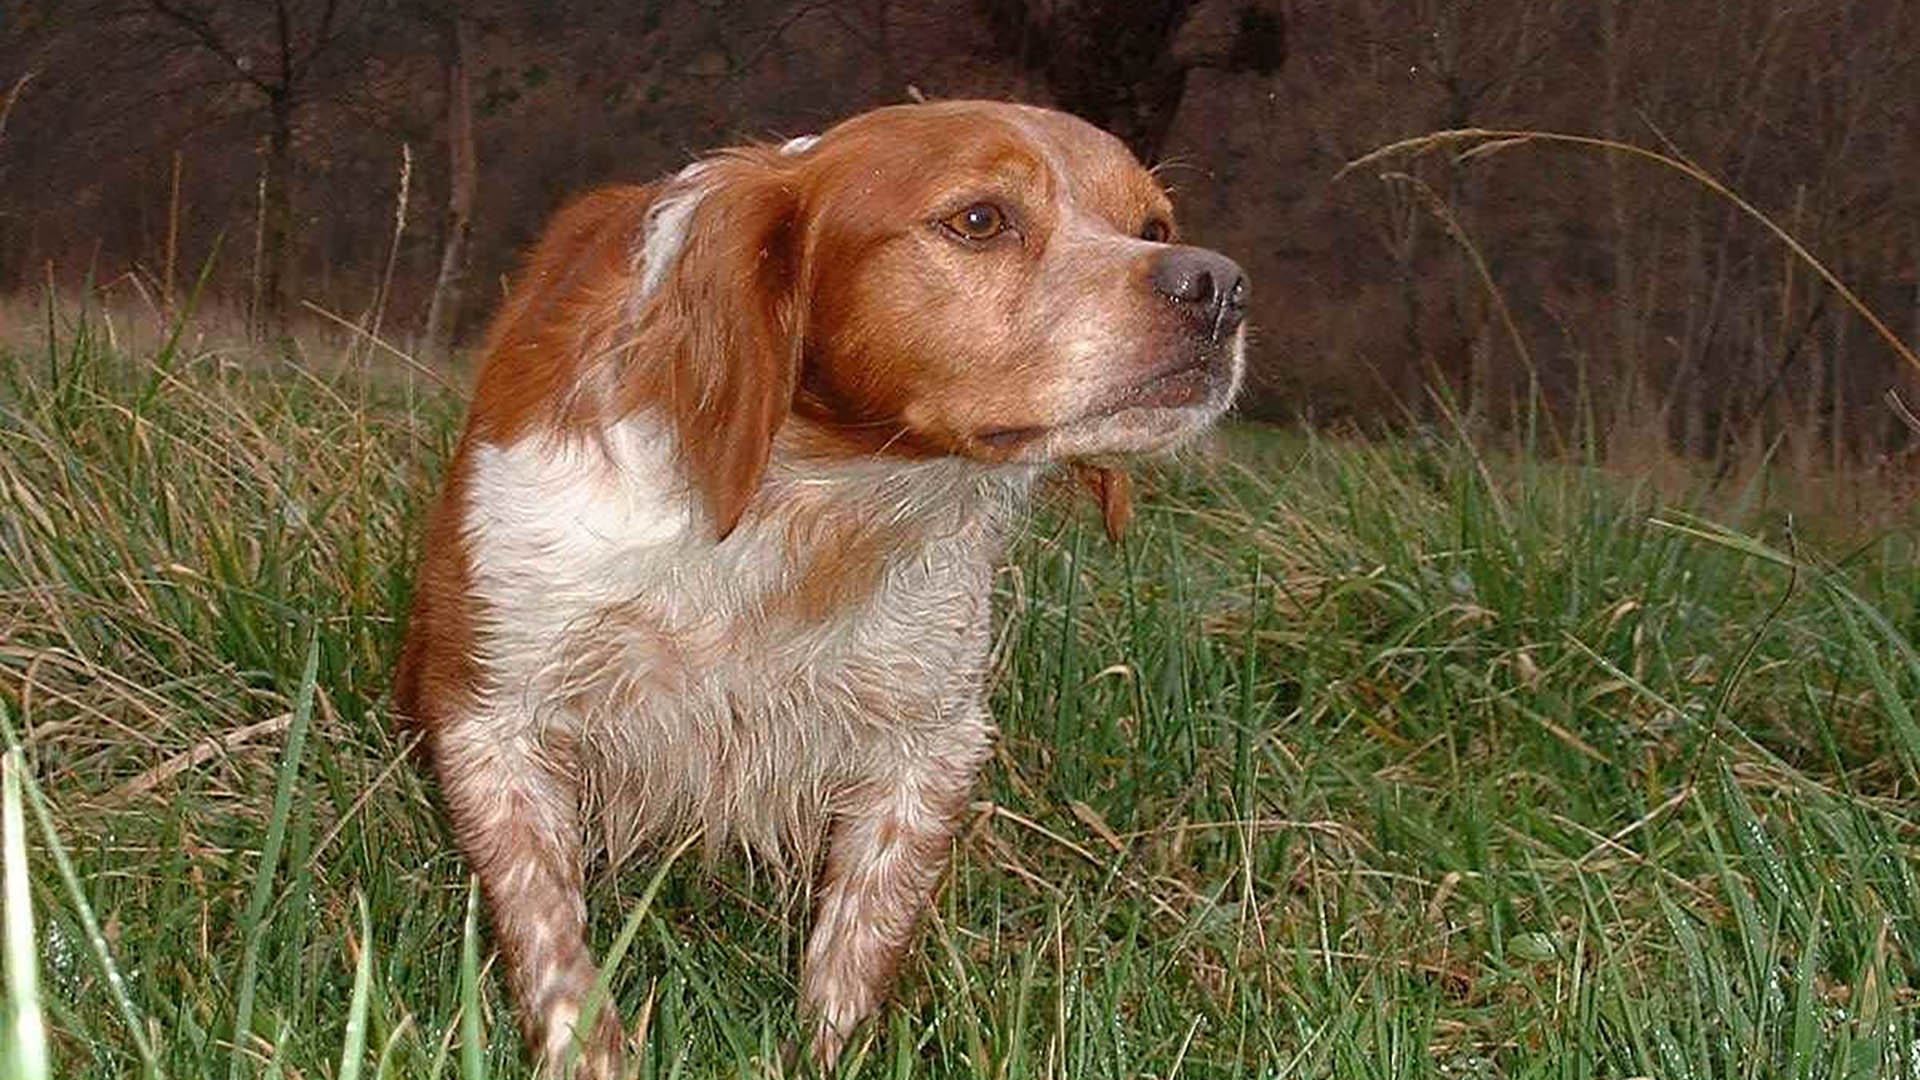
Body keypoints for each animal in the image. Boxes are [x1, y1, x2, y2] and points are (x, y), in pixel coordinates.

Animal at [397, 98, 1251, 1068]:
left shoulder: (930, 742)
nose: (1218, 285)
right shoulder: (493, 715)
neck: (812, 506)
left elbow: (855, 949)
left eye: (1156, 227)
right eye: (980, 219)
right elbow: (556, 948)